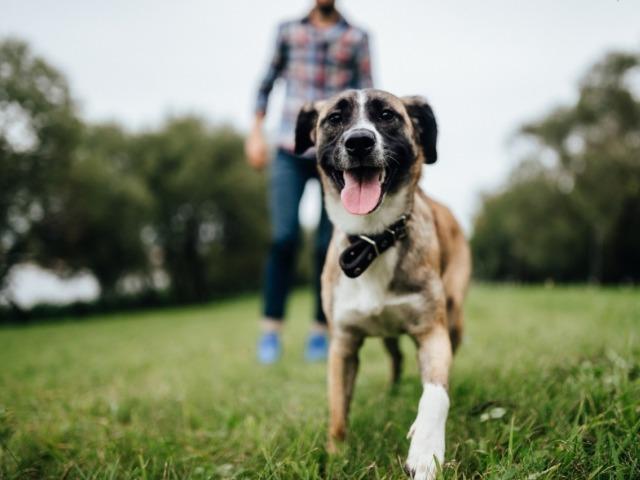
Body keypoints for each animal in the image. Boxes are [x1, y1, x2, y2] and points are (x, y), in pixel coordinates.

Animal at [296, 88, 470, 478]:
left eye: (387, 115)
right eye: (335, 118)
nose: (359, 141)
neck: (373, 240)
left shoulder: (432, 332)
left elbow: (436, 394)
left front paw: (426, 451)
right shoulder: (343, 345)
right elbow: (338, 412)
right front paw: (337, 456)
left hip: (453, 317)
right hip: (388, 335)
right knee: (396, 358)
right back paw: (392, 392)